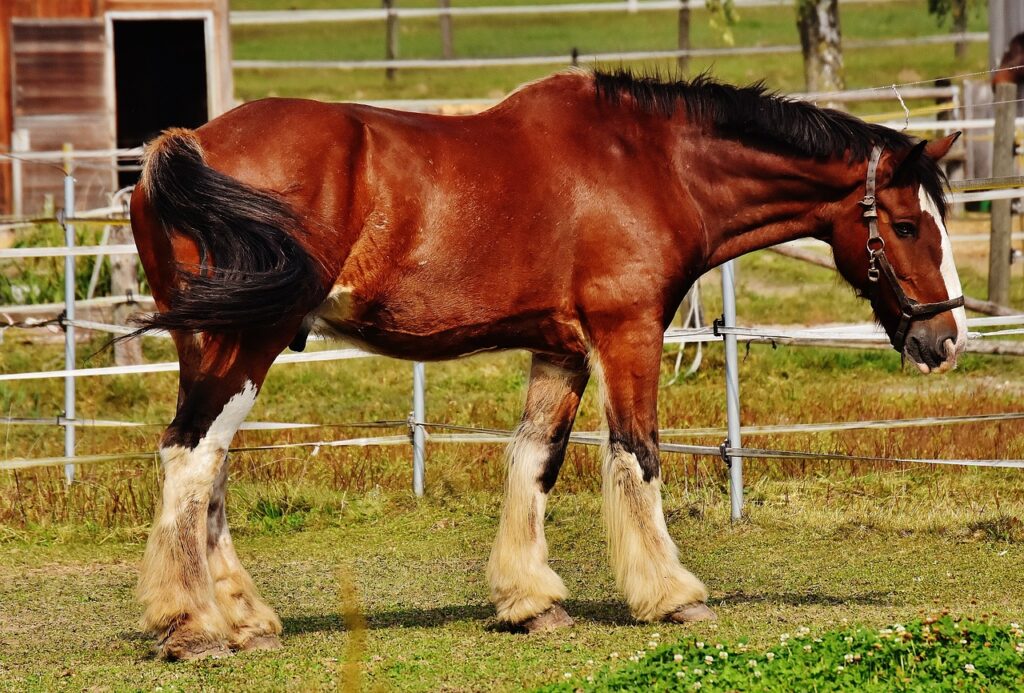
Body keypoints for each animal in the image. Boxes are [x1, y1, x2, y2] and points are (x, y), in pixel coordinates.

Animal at [129, 69, 967, 660]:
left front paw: (530, 600)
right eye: (905, 225)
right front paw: (672, 594)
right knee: (192, 456)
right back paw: (194, 624)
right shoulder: (627, 333)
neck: (652, 162)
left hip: (212, 341)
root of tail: (186, 145)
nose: (948, 336)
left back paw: (243, 618)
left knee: (207, 467)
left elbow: (535, 459)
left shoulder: (560, 348)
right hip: (250, 340)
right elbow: (638, 454)